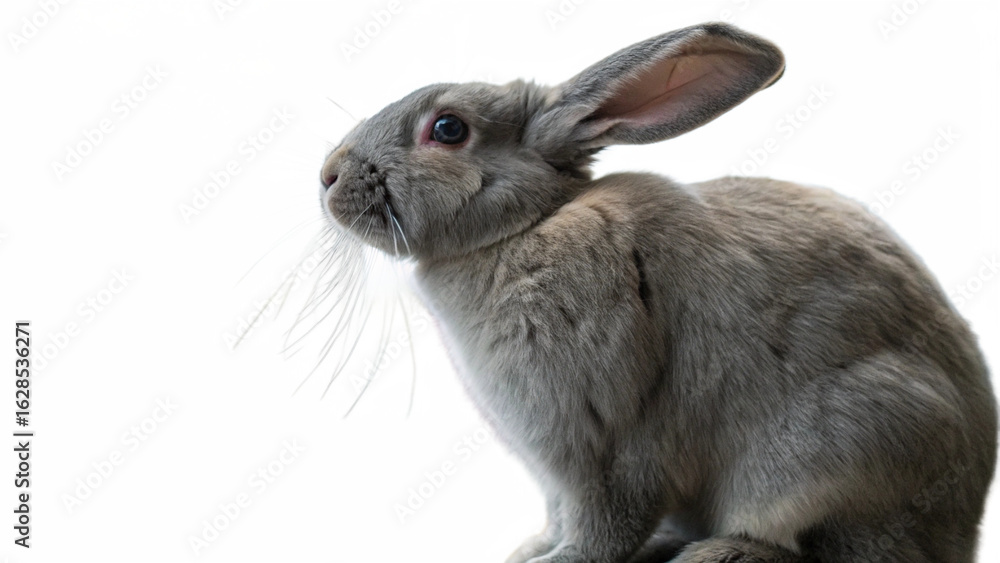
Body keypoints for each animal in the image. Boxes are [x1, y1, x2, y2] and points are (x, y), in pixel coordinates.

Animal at [318, 22, 997, 563]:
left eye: (448, 128)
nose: (327, 175)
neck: (526, 225)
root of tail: (959, 532)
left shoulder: (600, 440)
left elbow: (605, 522)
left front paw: (558, 561)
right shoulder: (554, 472)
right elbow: (560, 516)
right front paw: (531, 550)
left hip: (848, 444)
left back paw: (721, 554)